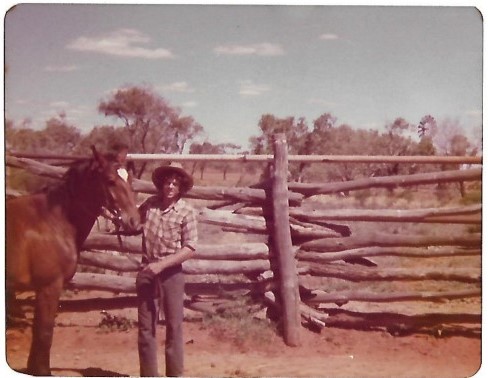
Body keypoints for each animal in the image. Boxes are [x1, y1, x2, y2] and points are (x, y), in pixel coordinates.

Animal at [6, 145, 141, 376]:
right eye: (110, 181)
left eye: (129, 179)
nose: (135, 223)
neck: (51, 221)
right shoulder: (49, 287)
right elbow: (44, 332)